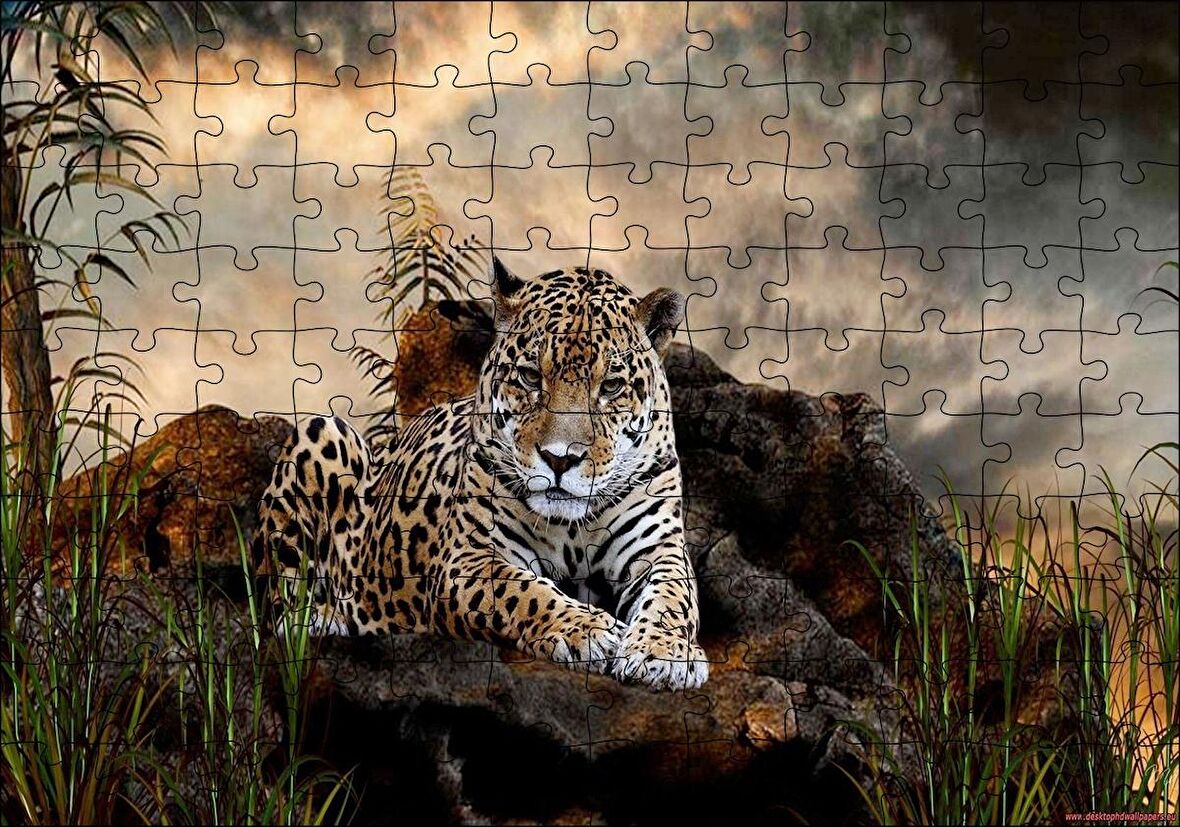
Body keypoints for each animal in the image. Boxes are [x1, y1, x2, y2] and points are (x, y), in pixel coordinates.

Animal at [251, 258, 708, 690]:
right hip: (321, 432)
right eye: (530, 376)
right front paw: (588, 629)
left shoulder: (658, 549)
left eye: (611, 386)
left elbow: (673, 597)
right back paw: (329, 618)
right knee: (280, 612)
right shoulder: (467, 558)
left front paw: (666, 653)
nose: (560, 459)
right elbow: (524, 592)